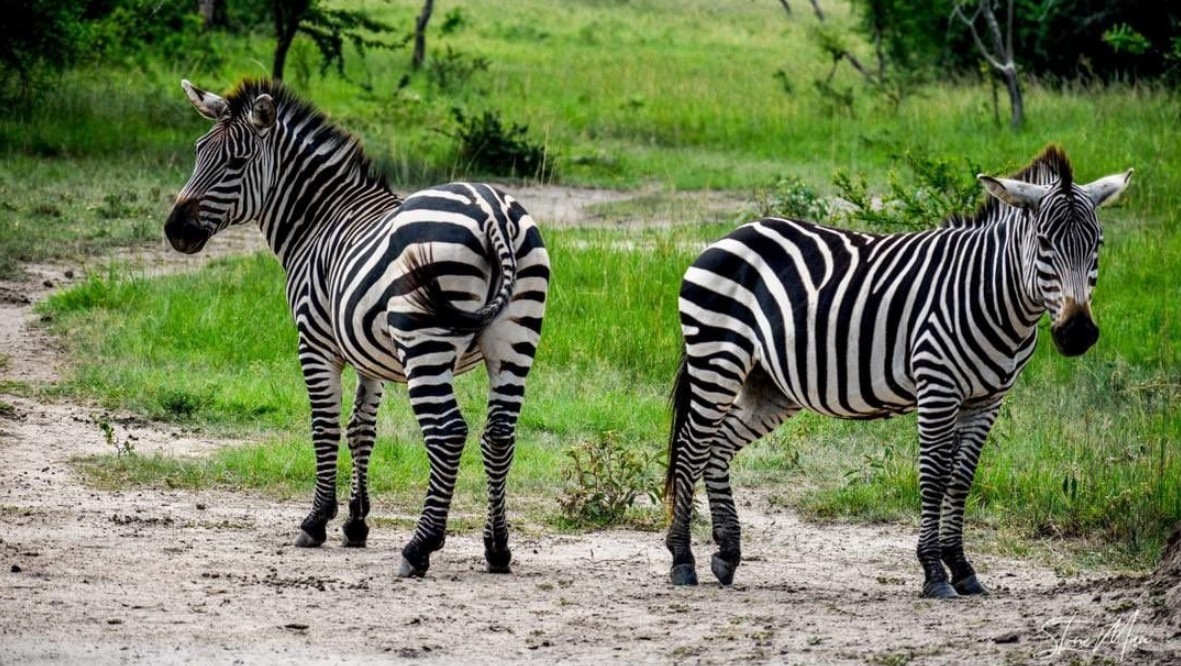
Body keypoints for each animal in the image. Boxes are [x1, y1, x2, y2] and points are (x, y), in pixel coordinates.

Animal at [164, 78, 549, 577]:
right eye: (198, 152)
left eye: (236, 162)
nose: (175, 231)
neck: (318, 220)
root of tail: (492, 212)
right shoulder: (368, 352)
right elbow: (361, 429)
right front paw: (356, 523)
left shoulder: (315, 341)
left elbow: (325, 425)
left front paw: (316, 521)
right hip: (515, 338)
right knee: (499, 434)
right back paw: (497, 548)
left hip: (424, 342)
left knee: (447, 432)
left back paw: (419, 547)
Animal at [663, 146, 1132, 598]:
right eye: (1044, 242)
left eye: (1097, 243)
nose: (1077, 333)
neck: (994, 295)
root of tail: (734, 233)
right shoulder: (938, 385)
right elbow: (934, 475)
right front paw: (934, 572)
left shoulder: (988, 399)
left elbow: (961, 479)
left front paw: (963, 569)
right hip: (717, 357)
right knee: (691, 447)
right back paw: (682, 560)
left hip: (768, 383)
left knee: (718, 446)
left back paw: (727, 553)